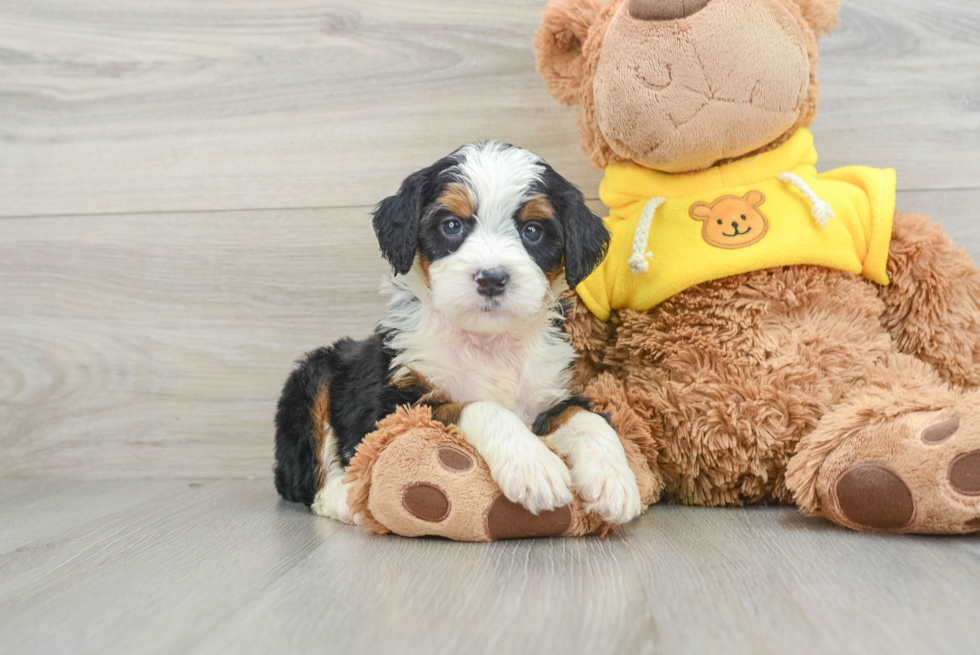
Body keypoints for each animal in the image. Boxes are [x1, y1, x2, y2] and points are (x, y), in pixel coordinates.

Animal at [274, 144, 644, 528]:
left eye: (532, 230)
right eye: (452, 225)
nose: (492, 278)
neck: (487, 341)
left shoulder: (551, 392)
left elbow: (585, 418)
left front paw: (613, 479)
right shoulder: (391, 411)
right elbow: (476, 406)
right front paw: (532, 464)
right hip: (311, 378)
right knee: (307, 479)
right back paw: (347, 500)